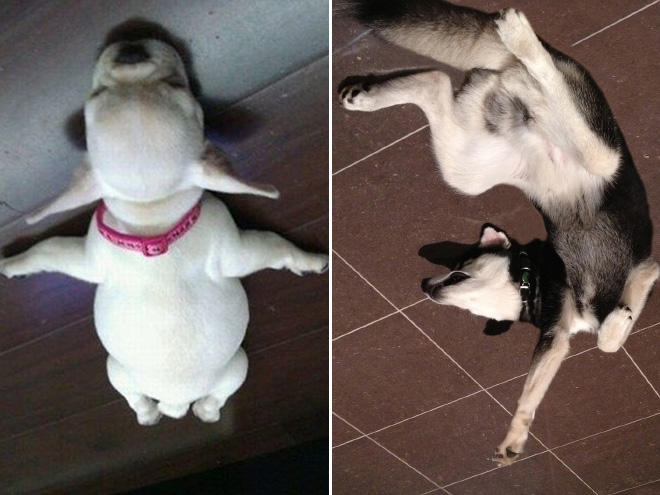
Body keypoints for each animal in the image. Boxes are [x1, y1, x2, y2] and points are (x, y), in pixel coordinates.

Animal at [0, 39, 328, 426]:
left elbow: (49, 248)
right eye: (98, 93)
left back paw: (180, 412)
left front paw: (310, 259)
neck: (152, 219)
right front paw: (13, 264)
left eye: (176, 85)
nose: (131, 50)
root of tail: (176, 401)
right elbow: (46, 248)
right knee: (148, 396)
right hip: (127, 369)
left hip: (229, 366)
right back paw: (172, 412)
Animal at [340, 0, 660, 464]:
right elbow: (531, 394)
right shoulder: (557, 336)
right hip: (471, 168)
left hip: (590, 156)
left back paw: (521, 39)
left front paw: (619, 321)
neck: (536, 281)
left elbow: (608, 339)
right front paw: (515, 437)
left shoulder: (642, 271)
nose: (426, 287)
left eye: (459, 271)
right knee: (436, 81)